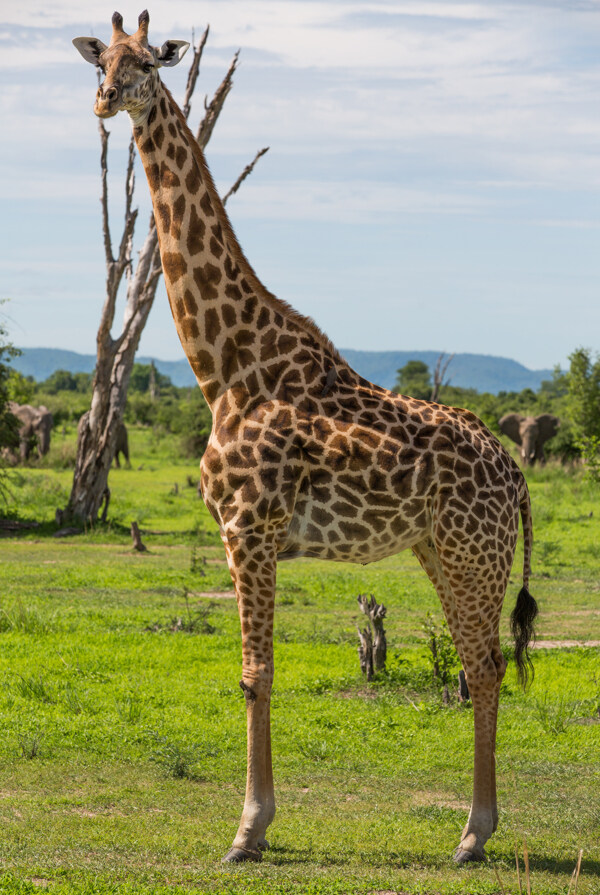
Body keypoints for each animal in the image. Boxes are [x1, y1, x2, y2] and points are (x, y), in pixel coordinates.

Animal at [72, 10, 536, 868]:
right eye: (101, 61)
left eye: (150, 62)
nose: (106, 100)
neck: (226, 366)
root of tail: (515, 471)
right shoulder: (249, 533)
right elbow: (256, 671)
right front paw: (254, 825)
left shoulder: (247, 527)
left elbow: (256, 671)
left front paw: (247, 830)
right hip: (440, 550)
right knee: (478, 664)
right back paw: (474, 830)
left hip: (473, 552)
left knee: (484, 666)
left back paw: (471, 834)